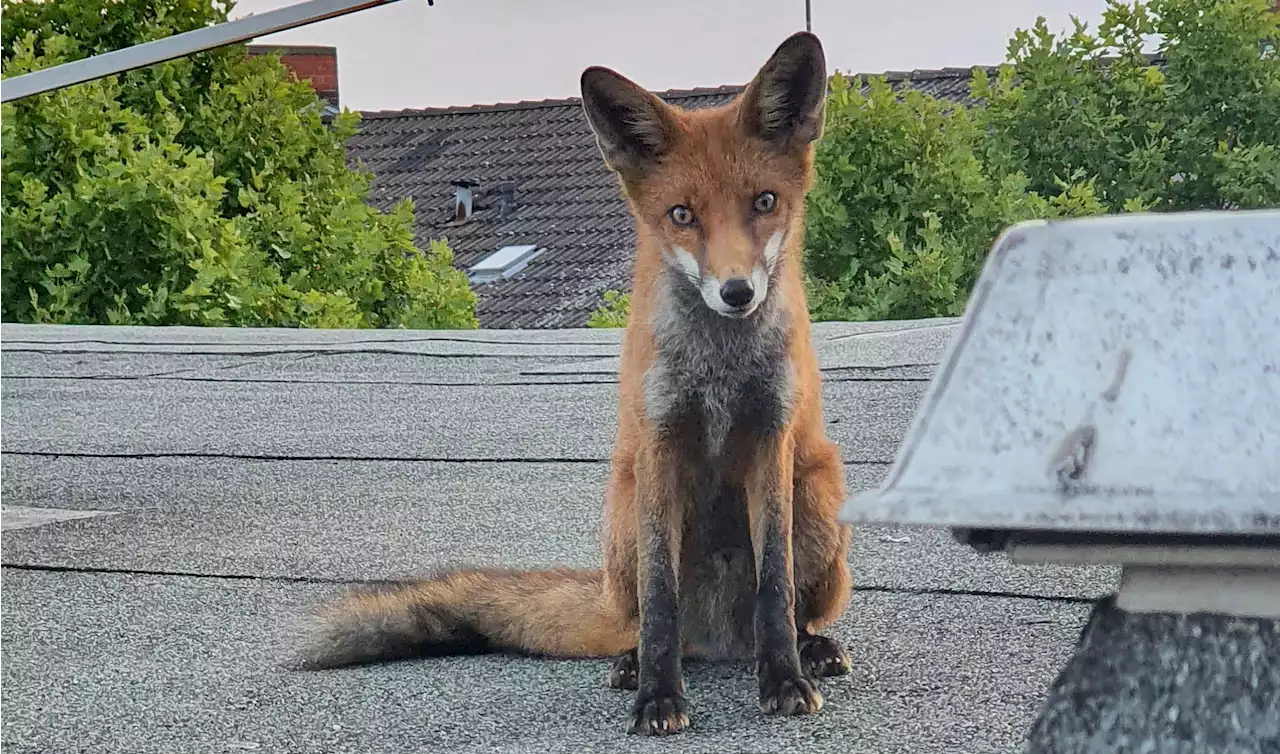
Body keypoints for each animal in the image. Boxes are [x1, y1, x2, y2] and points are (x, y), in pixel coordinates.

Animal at [294, 30, 855, 737]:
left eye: (765, 203)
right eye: (681, 215)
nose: (736, 293)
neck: (721, 369)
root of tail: (721, 642)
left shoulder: (771, 437)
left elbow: (774, 587)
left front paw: (783, 679)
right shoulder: (659, 443)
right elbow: (661, 601)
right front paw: (658, 696)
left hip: (819, 493)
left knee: (789, 609)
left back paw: (813, 649)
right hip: (623, 512)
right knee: (647, 621)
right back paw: (633, 663)